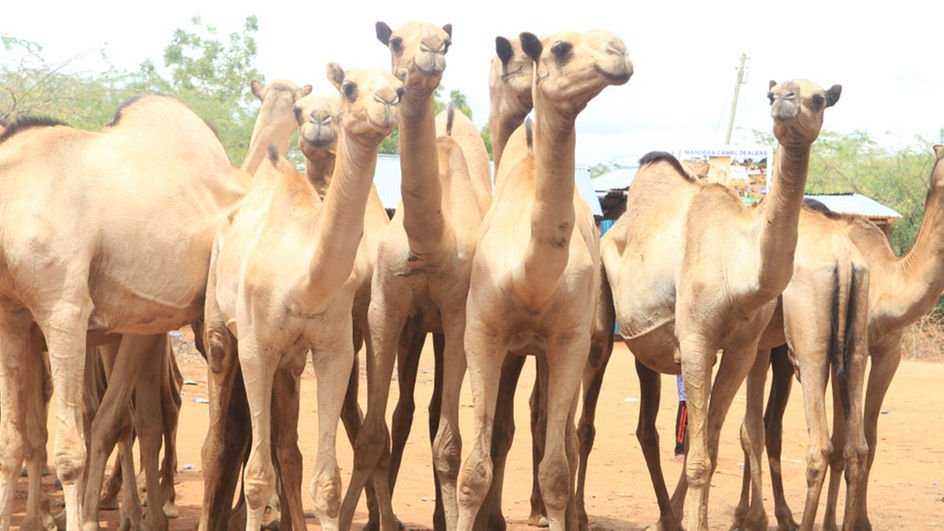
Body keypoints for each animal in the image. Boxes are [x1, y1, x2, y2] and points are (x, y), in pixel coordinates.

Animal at [203, 63, 401, 531]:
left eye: (401, 90)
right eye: (350, 87)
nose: (385, 103)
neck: (303, 280)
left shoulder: (334, 348)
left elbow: (325, 483)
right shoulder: (256, 347)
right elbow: (257, 478)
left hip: (290, 361)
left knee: (286, 448)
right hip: (221, 330)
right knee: (217, 443)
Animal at [455, 30, 632, 531]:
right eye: (560, 48)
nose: (619, 53)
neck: (530, 276)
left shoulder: (568, 341)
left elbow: (555, 467)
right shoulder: (484, 335)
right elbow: (475, 467)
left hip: (587, 346)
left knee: (570, 436)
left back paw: (576, 514)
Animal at [601, 79, 842, 530]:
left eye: (819, 99)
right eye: (772, 94)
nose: (785, 103)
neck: (738, 267)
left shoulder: (743, 349)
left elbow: (710, 447)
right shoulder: (697, 341)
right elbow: (698, 459)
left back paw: (667, 516)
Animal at [739, 144, 944, 530]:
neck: (891, 281)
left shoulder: (886, 352)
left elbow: (864, 441)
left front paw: (854, 521)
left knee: (776, 427)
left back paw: (777, 515)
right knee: (764, 426)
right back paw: (753, 512)